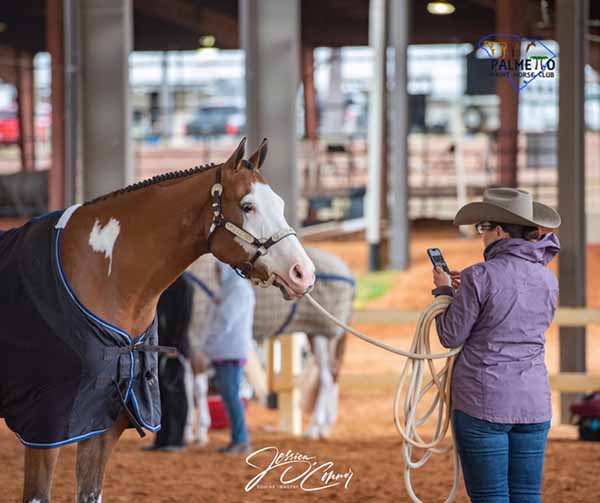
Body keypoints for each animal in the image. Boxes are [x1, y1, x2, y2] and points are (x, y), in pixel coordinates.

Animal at [0, 139, 316, 503]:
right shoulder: (45, 429)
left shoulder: (101, 424)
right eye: (247, 206)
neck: (100, 275)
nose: (303, 273)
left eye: (279, 203)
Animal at [184, 248, 352, 440]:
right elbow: (186, 385)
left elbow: (198, 387)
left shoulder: (196, 336)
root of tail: (346, 271)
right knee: (334, 374)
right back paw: (324, 427)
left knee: (327, 378)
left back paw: (315, 428)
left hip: (324, 336)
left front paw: (201, 432)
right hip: (318, 334)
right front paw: (187, 432)